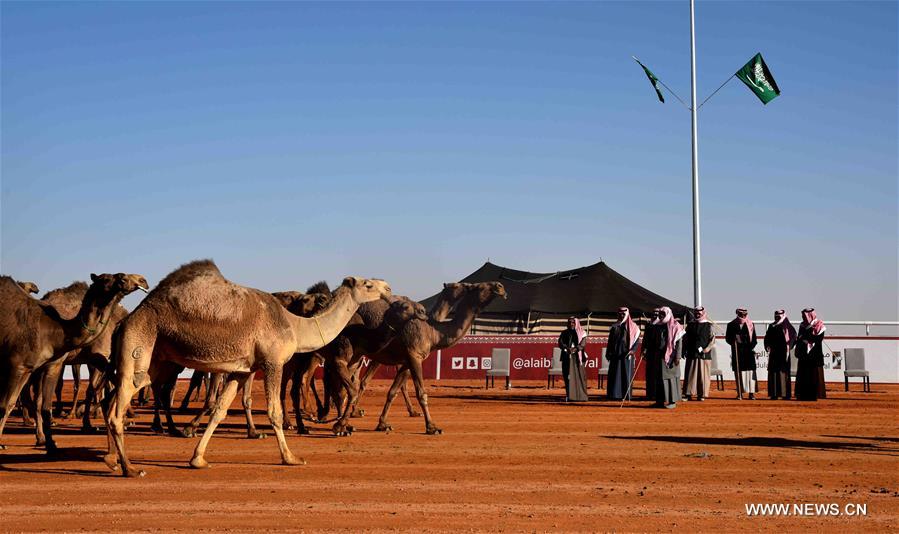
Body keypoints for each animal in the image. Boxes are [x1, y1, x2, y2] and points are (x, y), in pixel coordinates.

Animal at [0, 272, 149, 452]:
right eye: (110, 278)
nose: (143, 280)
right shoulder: (98, 354)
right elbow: (93, 388)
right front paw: (89, 422)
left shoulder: (89, 359)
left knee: (34, 397)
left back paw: (39, 431)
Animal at [103, 260, 390, 478]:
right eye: (367, 284)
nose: (387, 287)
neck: (295, 325)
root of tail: (125, 321)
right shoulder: (273, 362)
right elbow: (274, 412)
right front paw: (291, 457)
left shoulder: (244, 370)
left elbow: (219, 411)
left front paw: (198, 459)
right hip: (139, 345)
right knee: (117, 410)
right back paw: (130, 468)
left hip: (154, 361)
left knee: (112, 402)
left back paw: (111, 459)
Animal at [334, 282, 510, 438]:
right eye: (481, 287)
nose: (500, 286)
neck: (433, 331)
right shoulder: (414, 356)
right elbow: (421, 393)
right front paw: (432, 427)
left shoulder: (406, 361)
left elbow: (393, 391)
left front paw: (383, 424)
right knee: (350, 381)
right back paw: (344, 422)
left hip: (358, 355)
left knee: (349, 382)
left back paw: (345, 420)